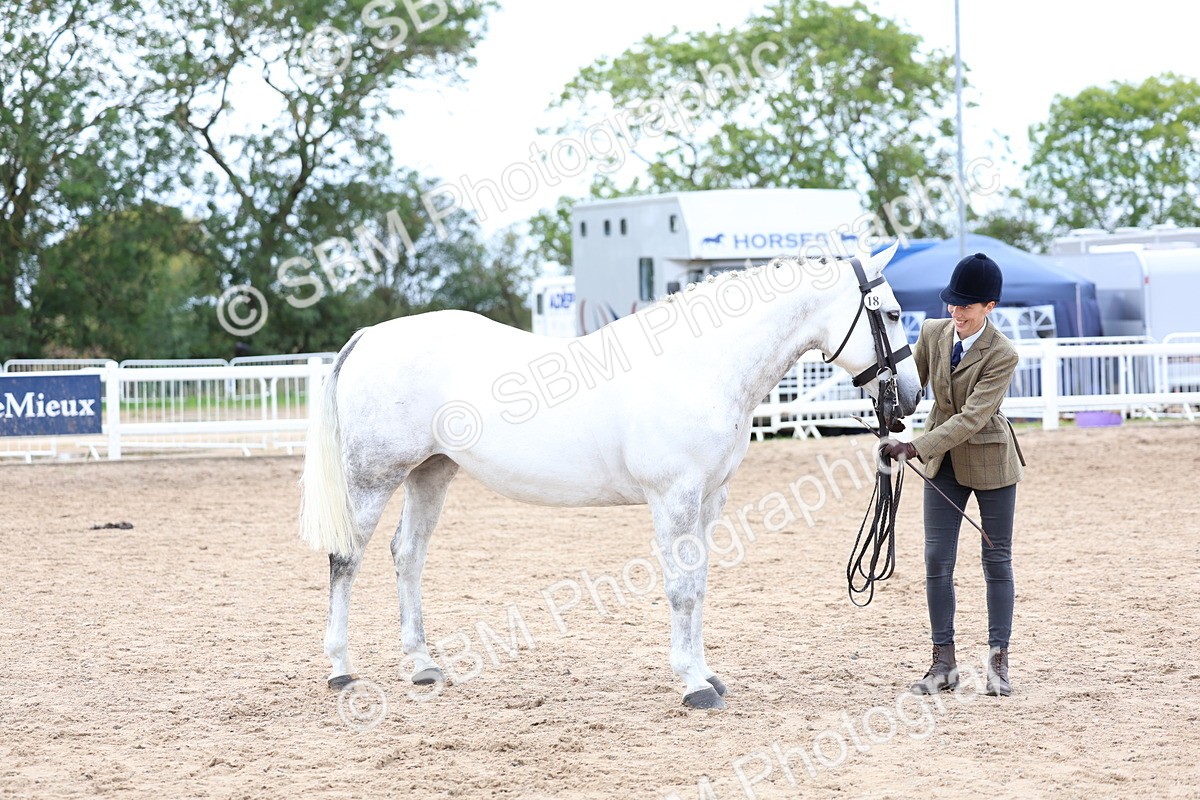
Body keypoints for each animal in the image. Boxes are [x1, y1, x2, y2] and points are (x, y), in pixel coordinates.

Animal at [299, 243, 921, 709]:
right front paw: (692, 685)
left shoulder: (709, 500)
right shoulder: (674, 498)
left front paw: (706, 673)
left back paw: (423, 665)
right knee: (346, 559)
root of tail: (370, 336)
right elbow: (680, 588)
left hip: (430, 473)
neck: (699, 366)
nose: (910, 397)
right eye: (891, 313)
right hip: (373, 477)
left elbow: (700, 584)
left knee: (407, 555)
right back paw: (340, 669)